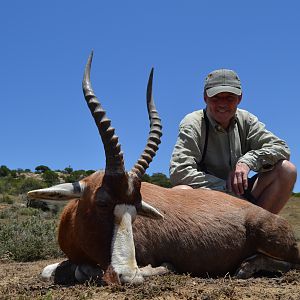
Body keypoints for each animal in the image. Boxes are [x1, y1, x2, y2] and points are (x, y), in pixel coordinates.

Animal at [27, 52, 298, 284]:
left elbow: (88, 270)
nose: (128, 275)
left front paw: (160, 268)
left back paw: (247, 266)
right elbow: (48, 270)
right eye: (102, 203)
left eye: (137, 209)